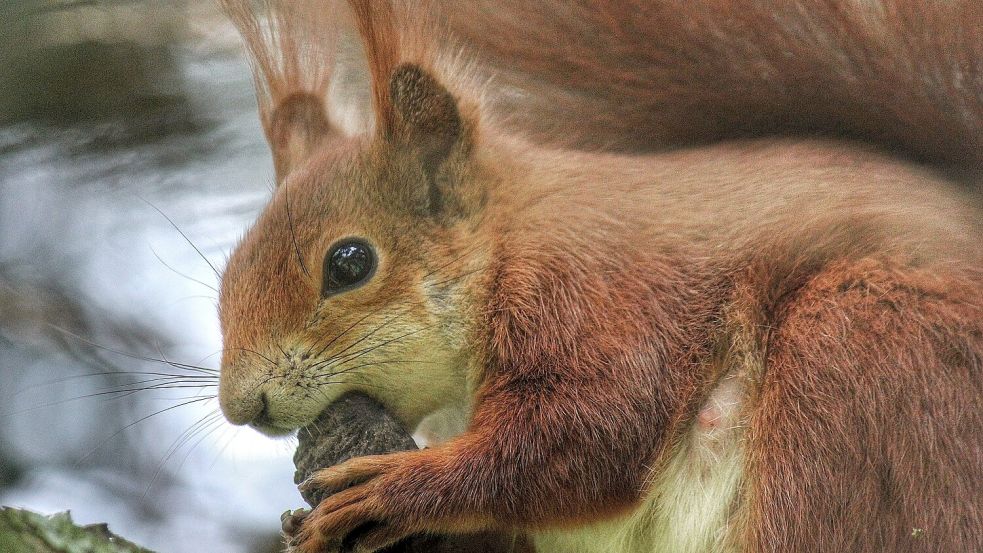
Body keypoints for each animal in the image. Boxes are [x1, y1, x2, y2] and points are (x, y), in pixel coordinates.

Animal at [219, 1, 980, 552]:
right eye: (226, 276)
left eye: (349, 263)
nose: (238, 405)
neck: (506, 243)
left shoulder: (596, 290)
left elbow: (590, 434)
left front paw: (394, 487)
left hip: (856, 368)